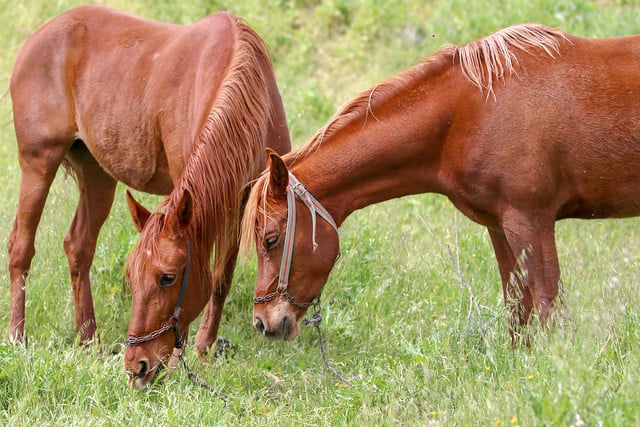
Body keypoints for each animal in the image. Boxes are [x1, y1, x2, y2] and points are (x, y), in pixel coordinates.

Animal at [6, 5, 292, 390]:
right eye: (131, 276)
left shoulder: (242, 199)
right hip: (38, 162)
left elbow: (221, 276)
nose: (136, 366)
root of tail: (39, 37)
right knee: (21, 246)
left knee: (78, 246)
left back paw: (89, 340)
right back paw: (17, 338)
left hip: (97, 174)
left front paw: (204, 347)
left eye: (167, 278)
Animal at [240, 22, 640, 344]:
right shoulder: (501, 228)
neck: (475, 111)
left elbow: (549, 309)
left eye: (270, 240)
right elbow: (517, 309)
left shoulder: (532, 224)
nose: (262, 322)